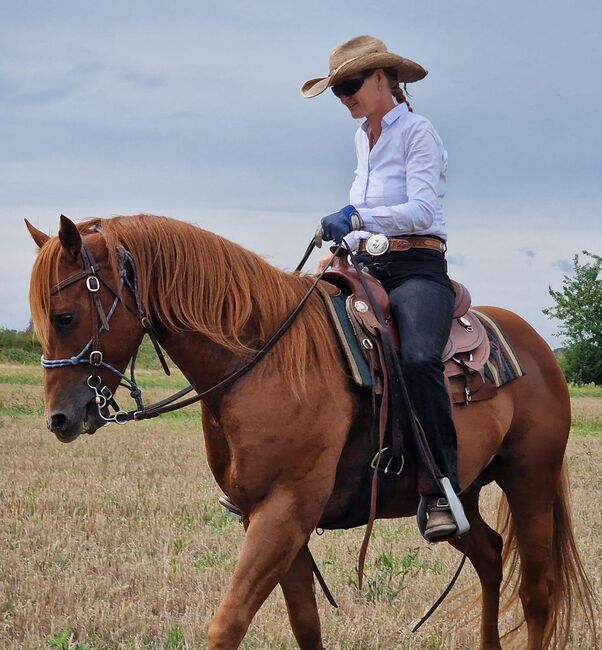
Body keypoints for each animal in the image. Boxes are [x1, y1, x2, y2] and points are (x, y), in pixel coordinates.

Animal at [27, 215, 592, 644]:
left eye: (64, 316)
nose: (59, 419)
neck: (263, 361)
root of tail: (538, 347)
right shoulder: (272, 521)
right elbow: (305, 623)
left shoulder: (284, 513)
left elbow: (227, 624)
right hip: (462, 494)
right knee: (491, 558)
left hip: (531, 480)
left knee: (537, 593)